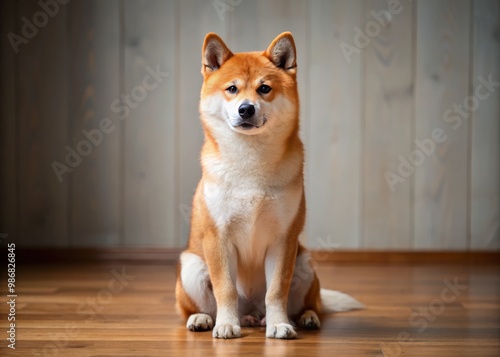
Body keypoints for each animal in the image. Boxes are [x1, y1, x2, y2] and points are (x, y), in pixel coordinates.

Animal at [174, 32, 362, 338]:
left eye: (264, 88)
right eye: (232, 89)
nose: (246, 108)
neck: (250, 162)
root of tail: (250, 312)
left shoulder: (284, 240)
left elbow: (276, 291)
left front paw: (279, 325)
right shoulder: (218, 238)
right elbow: (225, 290)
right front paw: (226, 324)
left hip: (305, 264)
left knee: (312, 303)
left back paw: (304, 318)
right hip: (191, 267)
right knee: (195, 308)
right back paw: (205, 318)